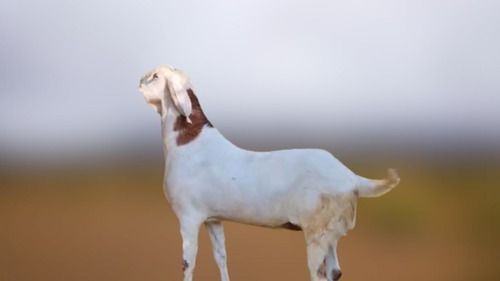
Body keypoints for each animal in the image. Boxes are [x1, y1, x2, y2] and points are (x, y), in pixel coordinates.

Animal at [139, 65, 400, 280]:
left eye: (155, 76)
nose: (139, 81)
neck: (187, 141)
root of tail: (350, 177)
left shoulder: (188, 217)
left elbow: (187, 263)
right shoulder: (213, 219)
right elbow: (221, 258)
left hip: (317, 232)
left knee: (320, 273)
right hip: (331, 234)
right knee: (335, 272)